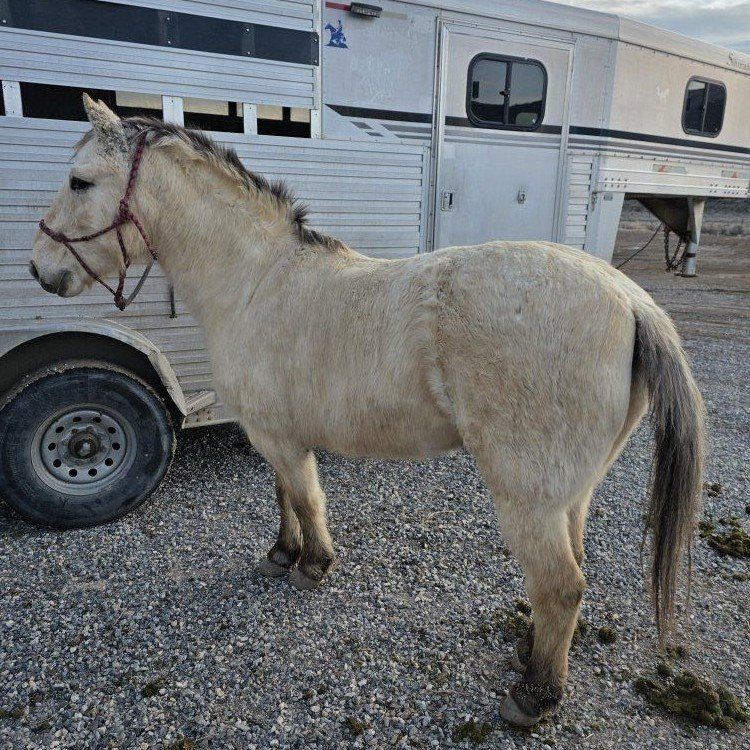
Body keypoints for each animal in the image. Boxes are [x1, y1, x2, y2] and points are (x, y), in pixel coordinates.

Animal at [30, 94, 705, 726]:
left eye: (79, 181)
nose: (41, 270)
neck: (254, 282)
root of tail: (631, 299)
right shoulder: (273, 434)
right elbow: (286, 496)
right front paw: (281, 555)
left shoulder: (279, 437)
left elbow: (307, 501)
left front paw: (311, 566)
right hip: (571, 492)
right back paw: (530, 657)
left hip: (527, 495)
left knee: (561, 588)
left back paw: (533, 698)